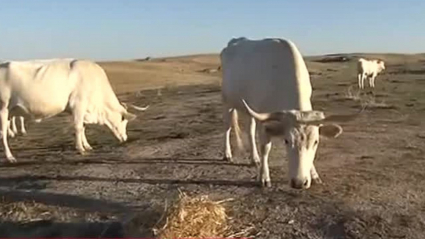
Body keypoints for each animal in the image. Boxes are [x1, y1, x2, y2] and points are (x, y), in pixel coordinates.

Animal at [0, 58, 149, 162]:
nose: (125, 138)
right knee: (3, 133)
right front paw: (81, 149)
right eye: (123, 120)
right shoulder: (78, 105)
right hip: (3, 109)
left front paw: (87, 145)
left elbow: (83, 127)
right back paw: (10, 156)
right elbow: (78, 127)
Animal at [220, 37, 360, 190]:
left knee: (250, 130)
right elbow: (265, 149)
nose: (299, 182)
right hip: (227, 103)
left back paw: (254, 158)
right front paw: (264, 177)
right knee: (227, 127)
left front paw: (314, 174)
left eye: (316, 142)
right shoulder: (264, 122)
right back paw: (227, 154)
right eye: (286, 141)